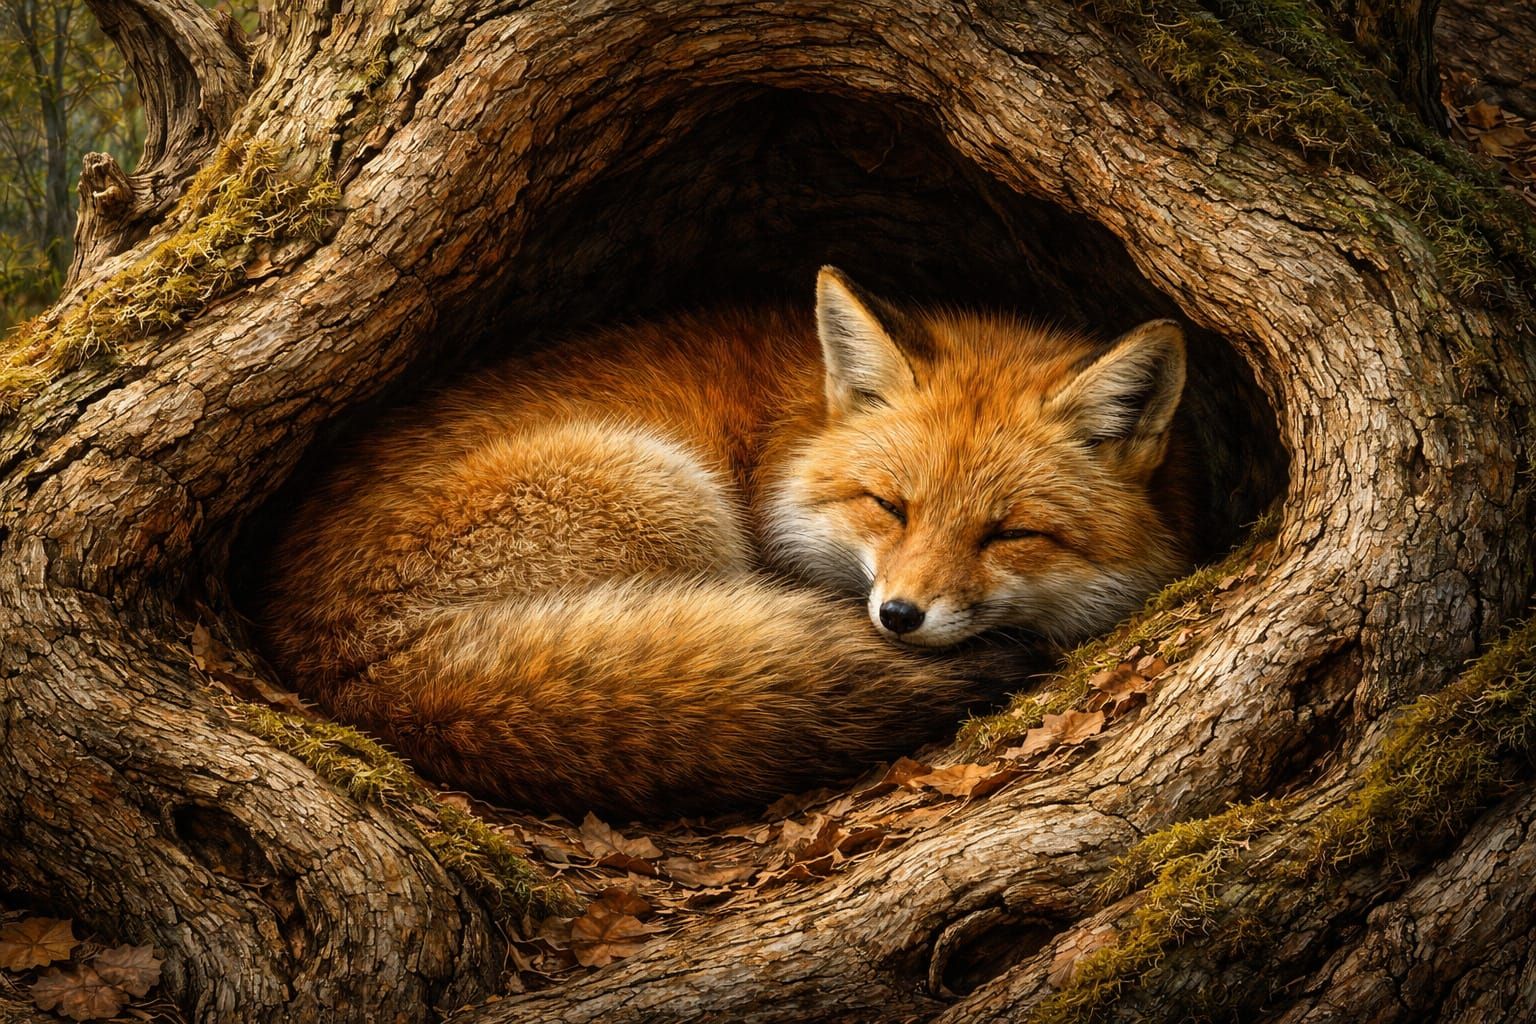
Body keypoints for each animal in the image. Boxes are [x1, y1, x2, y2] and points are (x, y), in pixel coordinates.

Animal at [262, 267, 1196, 818]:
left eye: (1009, 533)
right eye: (889, 507)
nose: (899, 616)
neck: (789, 434)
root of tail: (362, 673)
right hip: (666, 491)